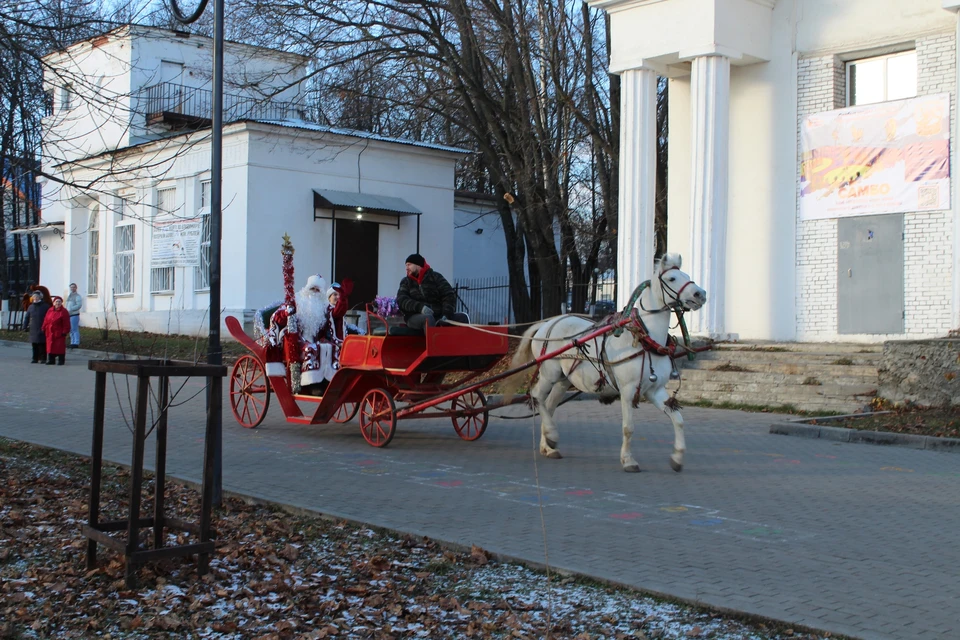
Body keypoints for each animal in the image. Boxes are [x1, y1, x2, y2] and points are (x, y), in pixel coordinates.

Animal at [502, 254, 704, 470]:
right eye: (672, 278)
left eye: (687, 276)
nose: (701, 294)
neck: (645, 339)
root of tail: (547, 323)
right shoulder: (628, 390)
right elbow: (628, 427)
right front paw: (628, 460)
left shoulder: (655, 390)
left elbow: (678, 420)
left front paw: (677, 457)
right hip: (550, 374)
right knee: (536, 396)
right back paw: (552, 435)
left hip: (564, 380)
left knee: (548, 405)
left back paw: (548, 446)